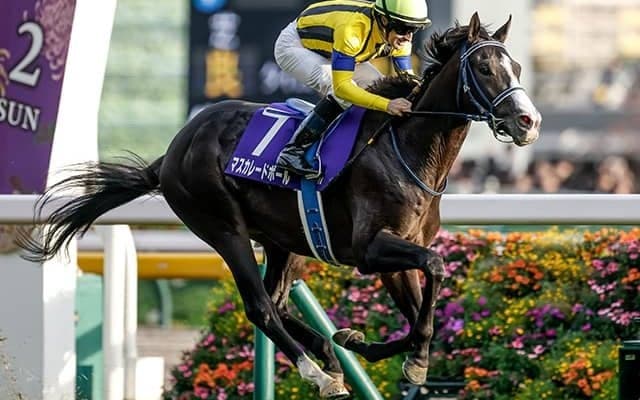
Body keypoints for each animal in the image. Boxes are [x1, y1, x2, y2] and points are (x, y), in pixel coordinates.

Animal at [19, 13, 540, 398]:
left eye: (516, 69)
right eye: (486, 68)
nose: (528, 121)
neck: (408, 149)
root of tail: (173, 150)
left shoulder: (398, 249)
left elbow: (419, 317)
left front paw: (378, 350)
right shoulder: (370, 250)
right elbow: (435, 267)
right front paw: (385, 355)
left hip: (282, 239)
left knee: (278, 299)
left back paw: (327, 354)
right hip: (223, 227)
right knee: (260, 307)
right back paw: (318, 373)